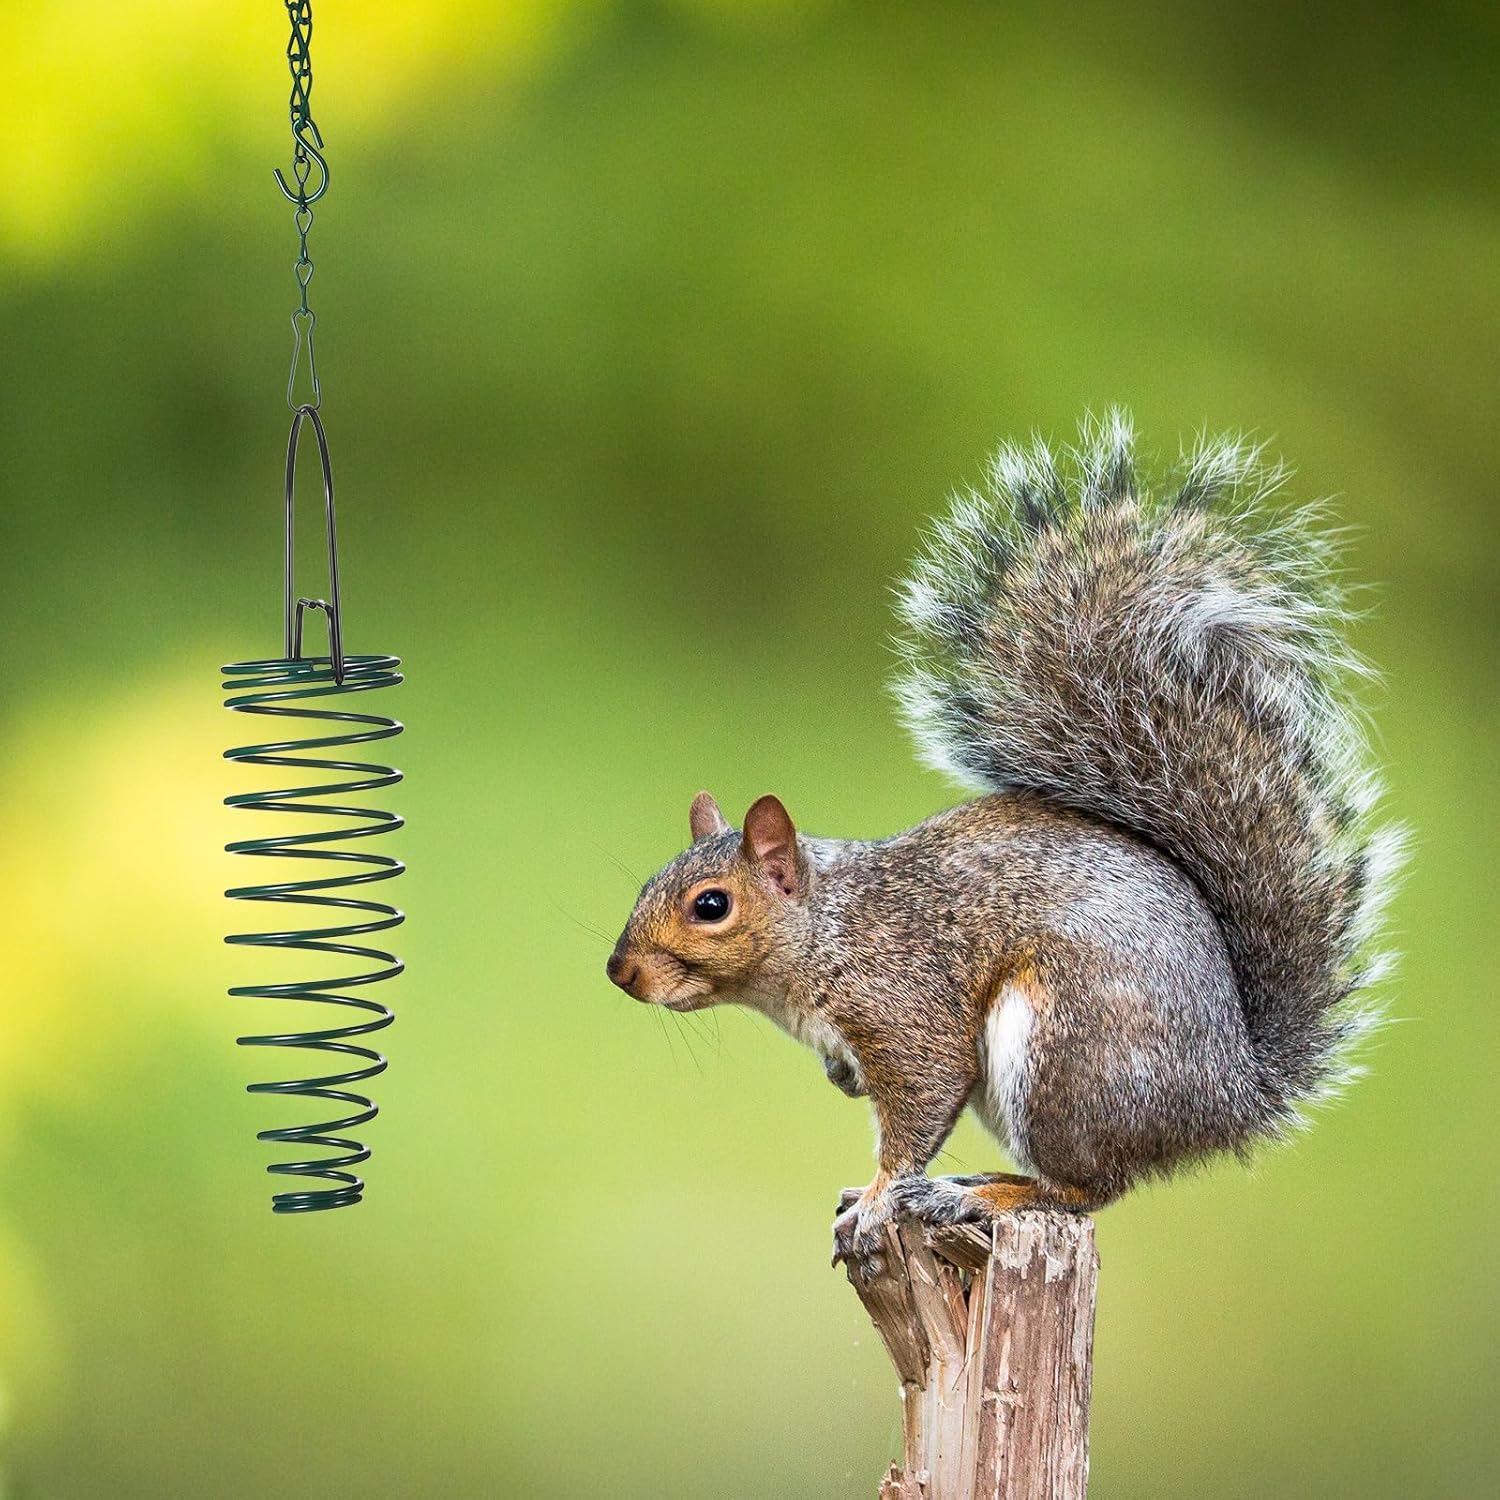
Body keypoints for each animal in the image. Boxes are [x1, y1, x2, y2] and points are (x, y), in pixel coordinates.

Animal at [606, 410, 1401, 1274]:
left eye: (710, 906)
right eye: (650, 884)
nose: (620, 973)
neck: (827, 931)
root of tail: (1231, 1100)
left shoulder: (905, 1004)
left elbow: (918, 1109)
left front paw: (877, 1199)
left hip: (1064, 1056)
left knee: (1087, 1186)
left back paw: (980, 1196)